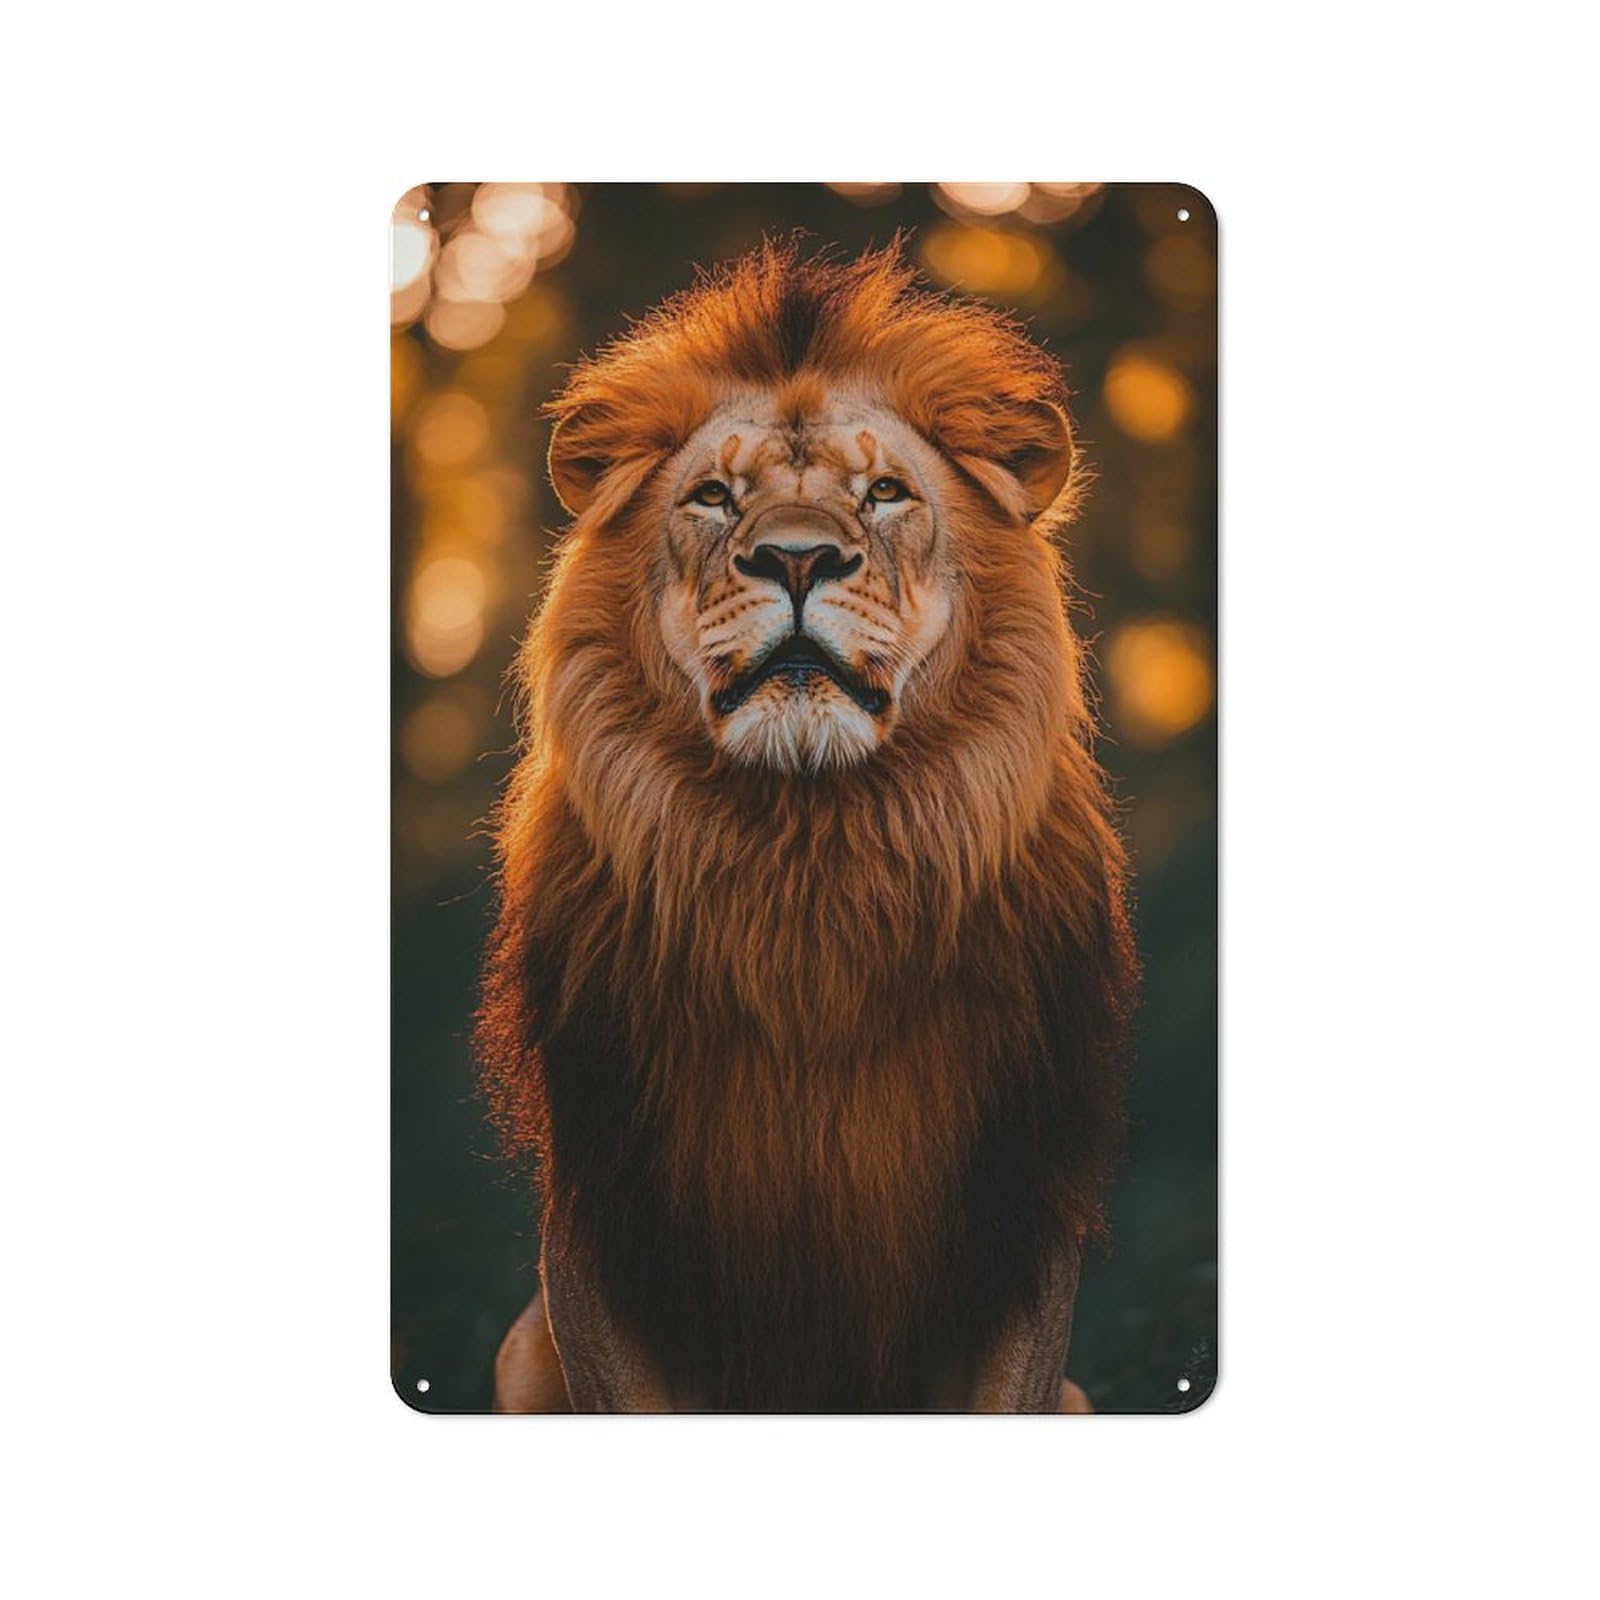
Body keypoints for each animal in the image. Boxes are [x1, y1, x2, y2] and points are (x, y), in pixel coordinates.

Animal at [477, 240, 1136, 1412]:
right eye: (710, 497)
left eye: (883, 493)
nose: (793, 558)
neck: (807, 856)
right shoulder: (609, 1213)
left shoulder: (1015, 1217)